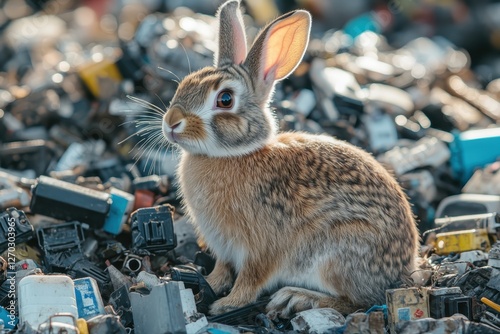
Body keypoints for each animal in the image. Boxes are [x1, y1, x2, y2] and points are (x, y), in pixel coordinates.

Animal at [162, 0, 420, 318]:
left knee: (359, 301)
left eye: (225, 100)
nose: (171, 123)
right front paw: (207, 282)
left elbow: (251, 279)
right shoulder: (224, 247)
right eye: (184, 83)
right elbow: (222, 269)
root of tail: (405, 273)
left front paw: (227, 304)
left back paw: (296, 299)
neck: (233, 154)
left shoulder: (261, 247)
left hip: (337, 253)